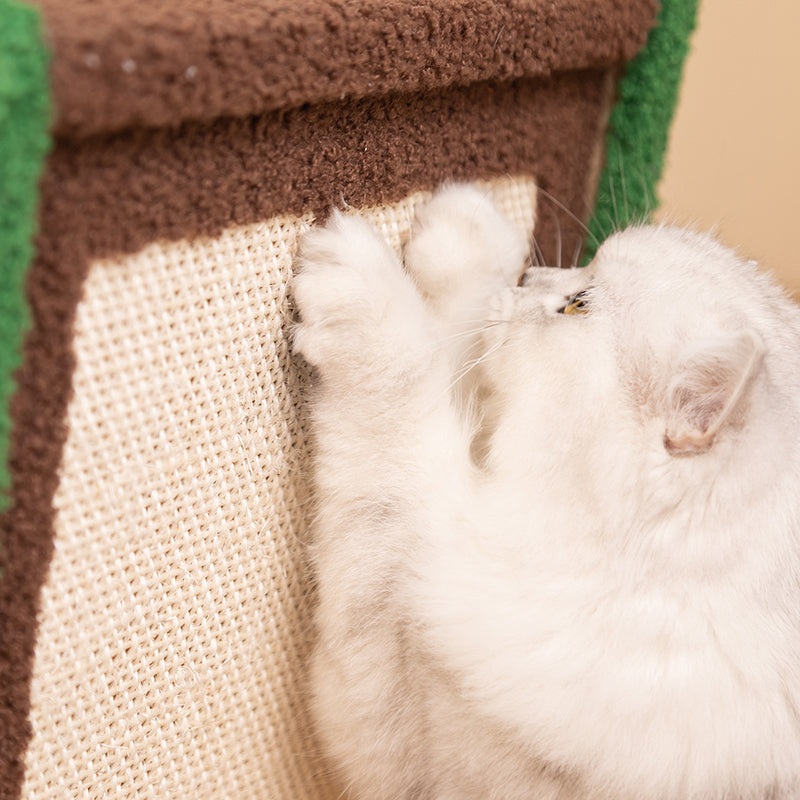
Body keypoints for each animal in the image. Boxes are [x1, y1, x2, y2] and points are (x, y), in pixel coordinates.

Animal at [290, 184, 800, 796]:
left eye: (578, 304)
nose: (529, 276)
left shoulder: (386, 700)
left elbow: (405, 401)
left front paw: (365, 285)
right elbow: (457, 347)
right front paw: (469, 231)